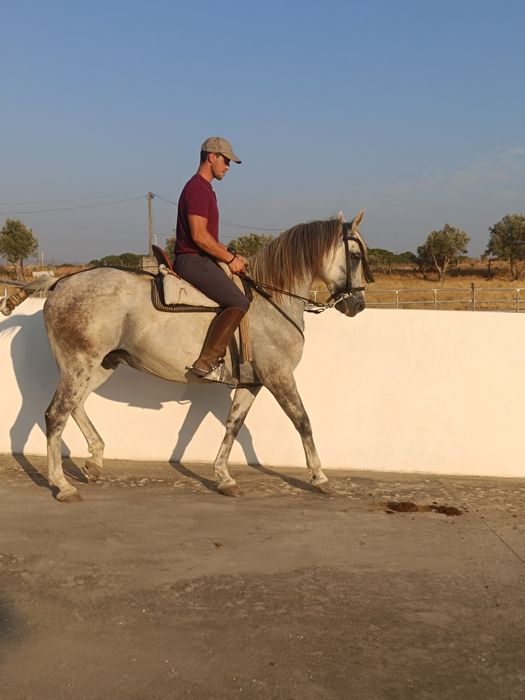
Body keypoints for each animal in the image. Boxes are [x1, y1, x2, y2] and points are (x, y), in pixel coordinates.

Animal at [2, 211, 373, 501]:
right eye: (355, 256)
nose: (357, 305)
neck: (271, 299)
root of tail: (59, 284)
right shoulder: (278, 376)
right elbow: (303, 421)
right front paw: (320, 477)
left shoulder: (252, 383)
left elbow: (234, 426)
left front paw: (224, 477)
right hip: (80, 366)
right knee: (56, 415)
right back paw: (62, 485)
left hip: (98, 366)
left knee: (74, 407)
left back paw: (93, 461)